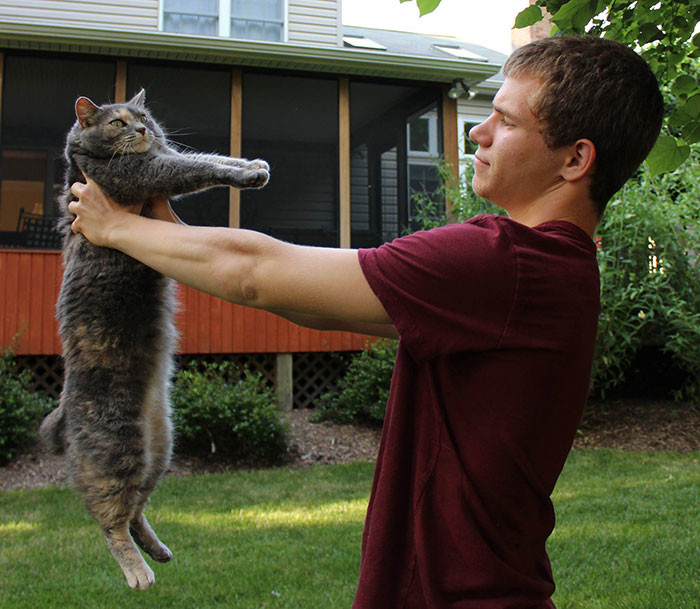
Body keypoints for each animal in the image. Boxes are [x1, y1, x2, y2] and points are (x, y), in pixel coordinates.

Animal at [37, 88, 270, 588]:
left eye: (142, 114)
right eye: (117, 122)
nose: (142, 129)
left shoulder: (157, 163)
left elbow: (202, 156)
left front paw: (248, 162)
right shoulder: (141, 175)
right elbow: (196, 166)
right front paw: (247, 172)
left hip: (162, 446)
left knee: (136, 509)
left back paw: (158, 551)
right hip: (117, 448)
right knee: (107, 516)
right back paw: (137, 571)